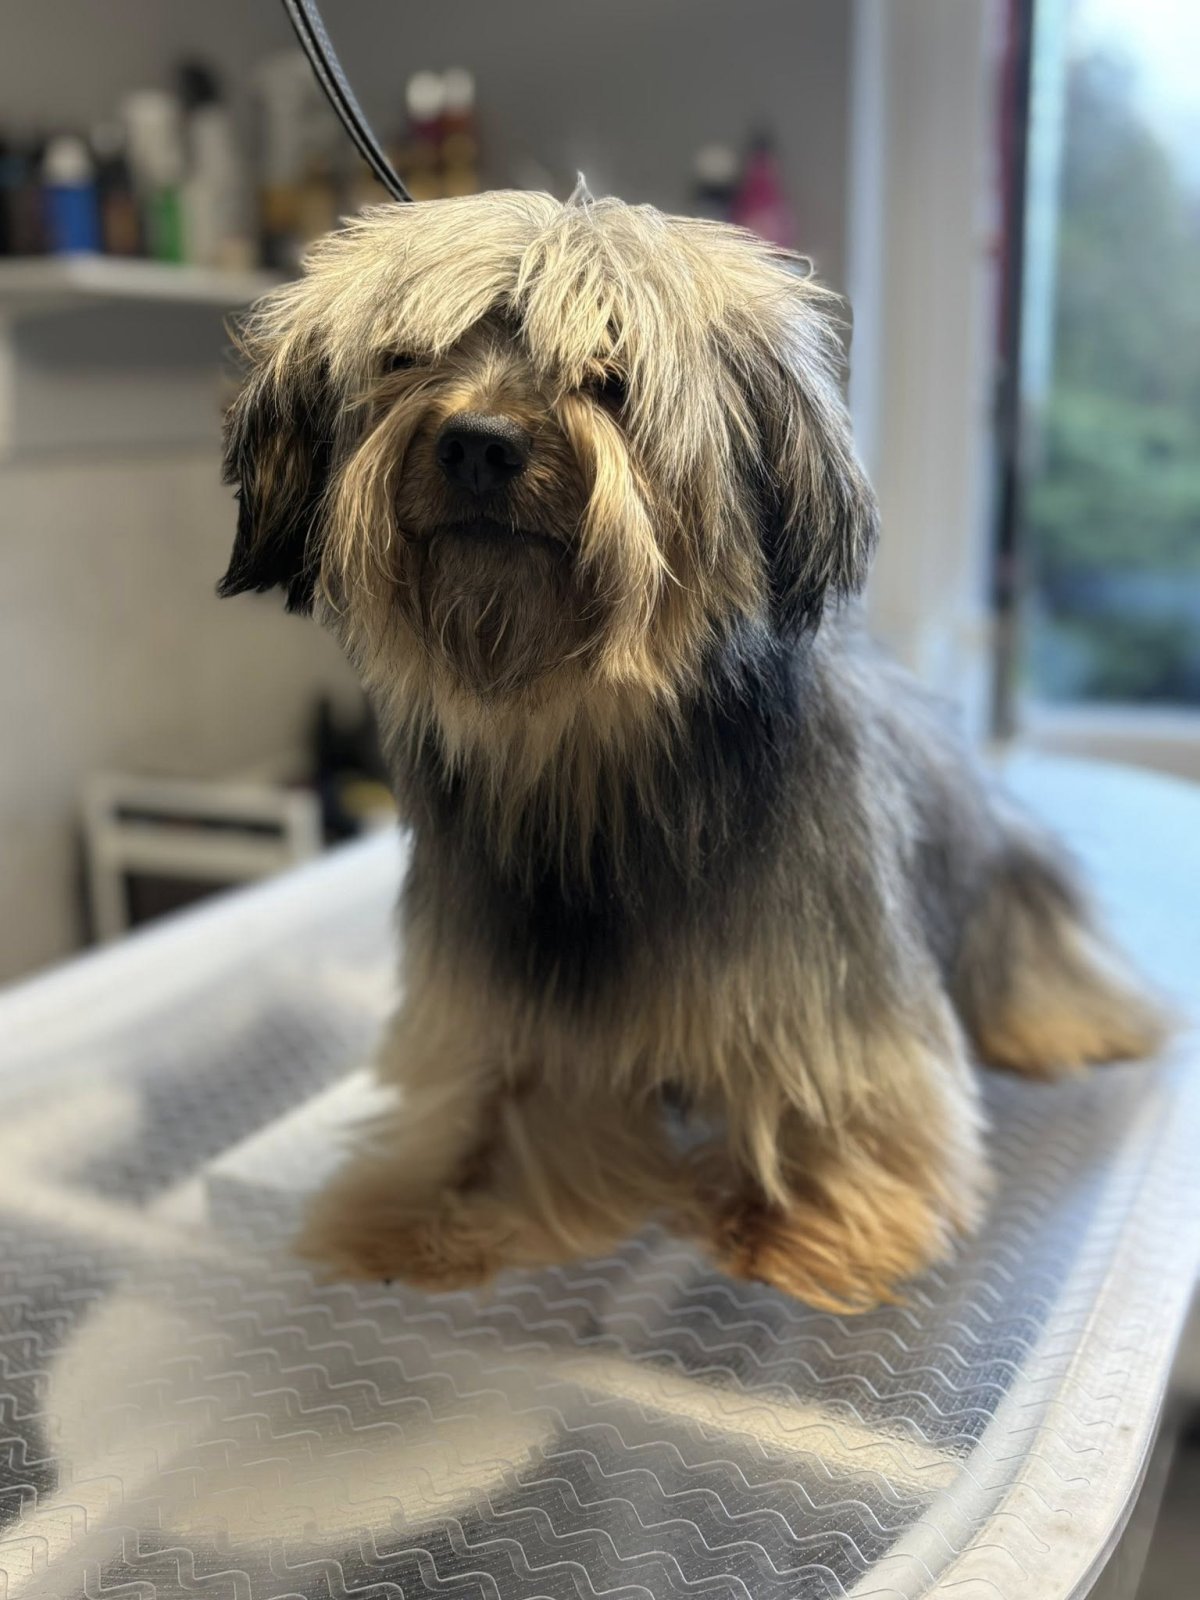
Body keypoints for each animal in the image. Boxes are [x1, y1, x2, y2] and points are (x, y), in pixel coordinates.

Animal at [219, 189, 1163, 1311]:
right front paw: (434, 1207)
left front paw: (816, 1210)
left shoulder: (817, 959)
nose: (480, 444)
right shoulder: (521, 983)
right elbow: (507, 1097)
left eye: (610, 371)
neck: (588, 746)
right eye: (407, 359)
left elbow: (839, 1067)